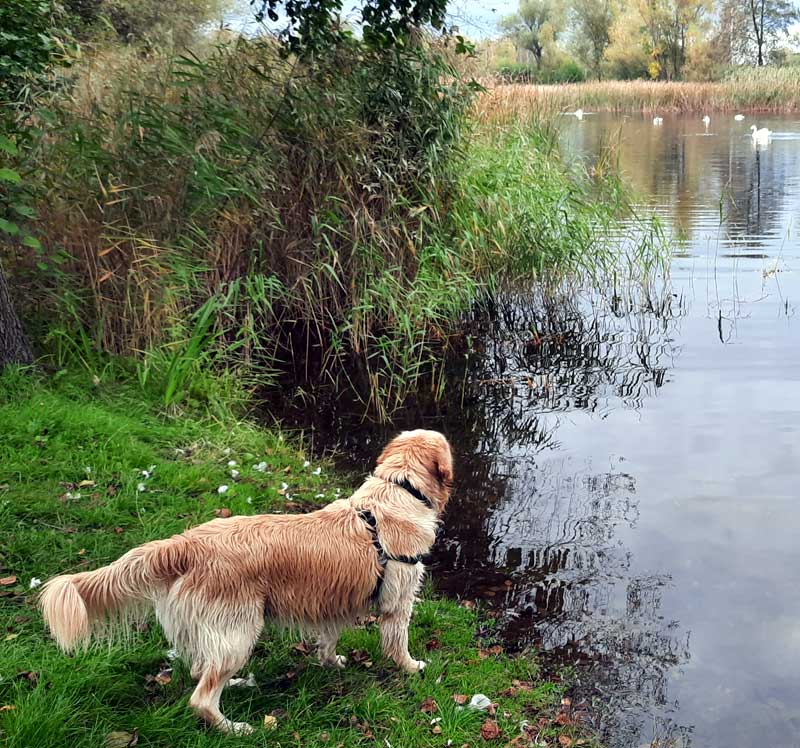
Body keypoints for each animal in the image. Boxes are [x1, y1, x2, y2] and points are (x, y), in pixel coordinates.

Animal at [40, 430, 454, 732]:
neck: (399, 491)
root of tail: (185, 543)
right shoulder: (398, 602)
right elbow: (397, 643)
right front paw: (411, 667)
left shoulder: (331, 600)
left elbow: (328, 637)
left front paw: (331, 660)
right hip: (239, 630)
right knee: (201, 697)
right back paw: (235, 728)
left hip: (213, 631)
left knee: (200, 669)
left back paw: (236, 685)